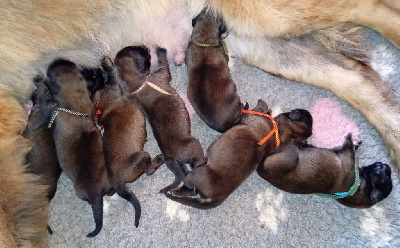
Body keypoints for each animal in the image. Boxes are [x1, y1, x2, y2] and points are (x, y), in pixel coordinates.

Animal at [88, 57, 162, 227]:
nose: (96, 68)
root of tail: (118, 183)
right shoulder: (115, 85)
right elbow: (112, 75)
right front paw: (107, 63)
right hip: (142, 156)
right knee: (149, 169)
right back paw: (159, 159)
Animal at [113, 46, 205, 194]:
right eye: (139, 50)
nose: (144, 46)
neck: (138, 83)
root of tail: (169, 157)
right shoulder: (163, 72)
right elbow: (163, 61)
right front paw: (160, 50)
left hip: (180, 164)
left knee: (183, 172)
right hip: (193, 144)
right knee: (196, 163)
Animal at [164, 100, 314, 208]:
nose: (305, 110)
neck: (283, 133)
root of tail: (218, 198)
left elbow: (258, 109)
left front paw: (262, 105)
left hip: (195, 174)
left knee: (187, 184)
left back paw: (174, 188)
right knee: (191, 191)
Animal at [258, 134, 392, 207]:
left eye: (382, 171)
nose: (385, 164)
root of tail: (261, 170)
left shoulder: (346, 157)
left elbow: (349, 148)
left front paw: (350, 138)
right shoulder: (340, 152)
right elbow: (348, 148)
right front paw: (356, 142)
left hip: (290, 154)